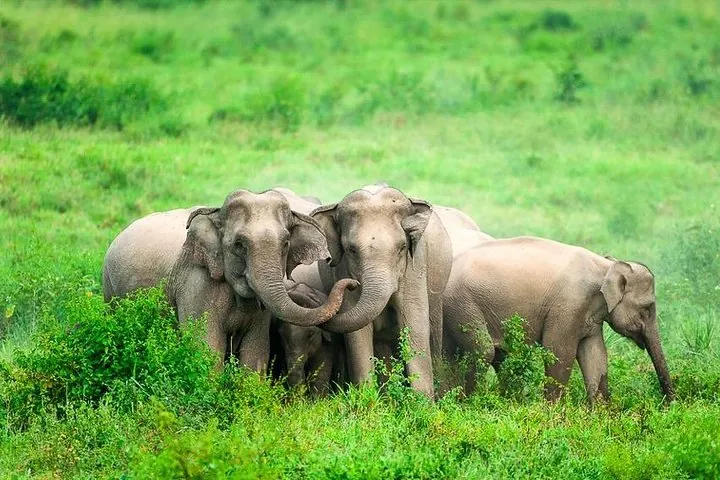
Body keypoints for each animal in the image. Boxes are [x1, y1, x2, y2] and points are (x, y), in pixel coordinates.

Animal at [102, 188, 357, 371]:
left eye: (285, 244)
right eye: (239, 245)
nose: (353, 284)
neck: (215, 214)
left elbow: (256, 351)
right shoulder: (196, 285)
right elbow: (206, 347)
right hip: (108, 287)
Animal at [311, 185, 453, 398]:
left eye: (403, 247)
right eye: (351, 250)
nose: (350, 284)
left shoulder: (415, 265)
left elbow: (414, 322)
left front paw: (422, 403)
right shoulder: (343, 268)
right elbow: (357, 332)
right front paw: (367, 399)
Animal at [442, 236, 675, 403]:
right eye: (647, 308)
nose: (670, 404)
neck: (606, 265)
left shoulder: (589, 315)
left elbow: (595, 354)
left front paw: (602, 415)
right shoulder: (568, 306)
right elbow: (559, 351)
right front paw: (553, 413)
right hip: (462, 303)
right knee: (484, 351)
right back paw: (468, 404)